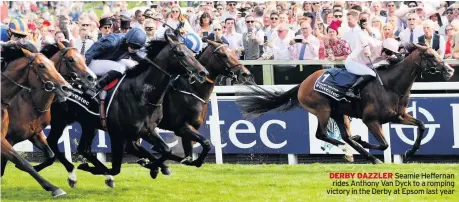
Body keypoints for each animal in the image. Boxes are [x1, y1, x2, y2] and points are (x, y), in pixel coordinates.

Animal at [0, 41, 72, 197]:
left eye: (52, 64)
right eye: (41, 65)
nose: (66, 87)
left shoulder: (34, 133)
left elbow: (50, 155)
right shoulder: (6, 138)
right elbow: (22, 162)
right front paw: (53, 188)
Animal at [237, 43, 456, 163]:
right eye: (430, 55)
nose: (449, 70)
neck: (390, 86)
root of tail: (303, 83)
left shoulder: (398, 116)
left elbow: (422, 125)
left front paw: (411, 151)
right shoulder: (371, 120)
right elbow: (384, 144)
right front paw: (364, 141)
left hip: (338, 112)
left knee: (344, 136)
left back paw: (364, 155)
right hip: (322, 109)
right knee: (323, 134)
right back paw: (350, 151)